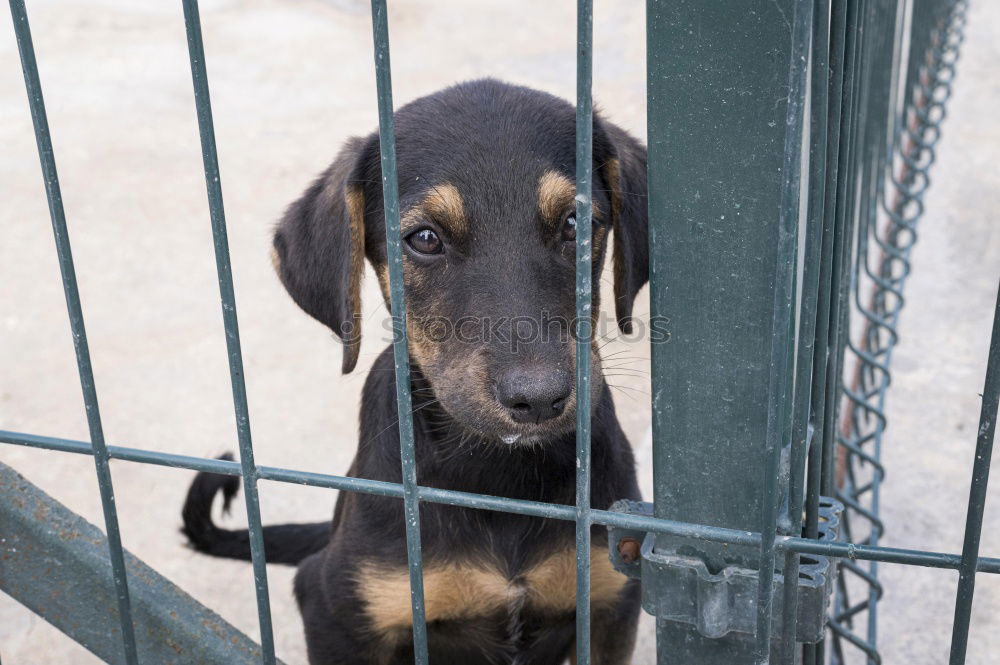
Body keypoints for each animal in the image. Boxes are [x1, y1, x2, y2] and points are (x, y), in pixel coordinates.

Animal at [182, 79, 648, 664]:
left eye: (576, 223)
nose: (539, 398)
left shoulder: (611, 601)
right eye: (424, 239)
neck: (497, 476)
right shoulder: (338, 606)